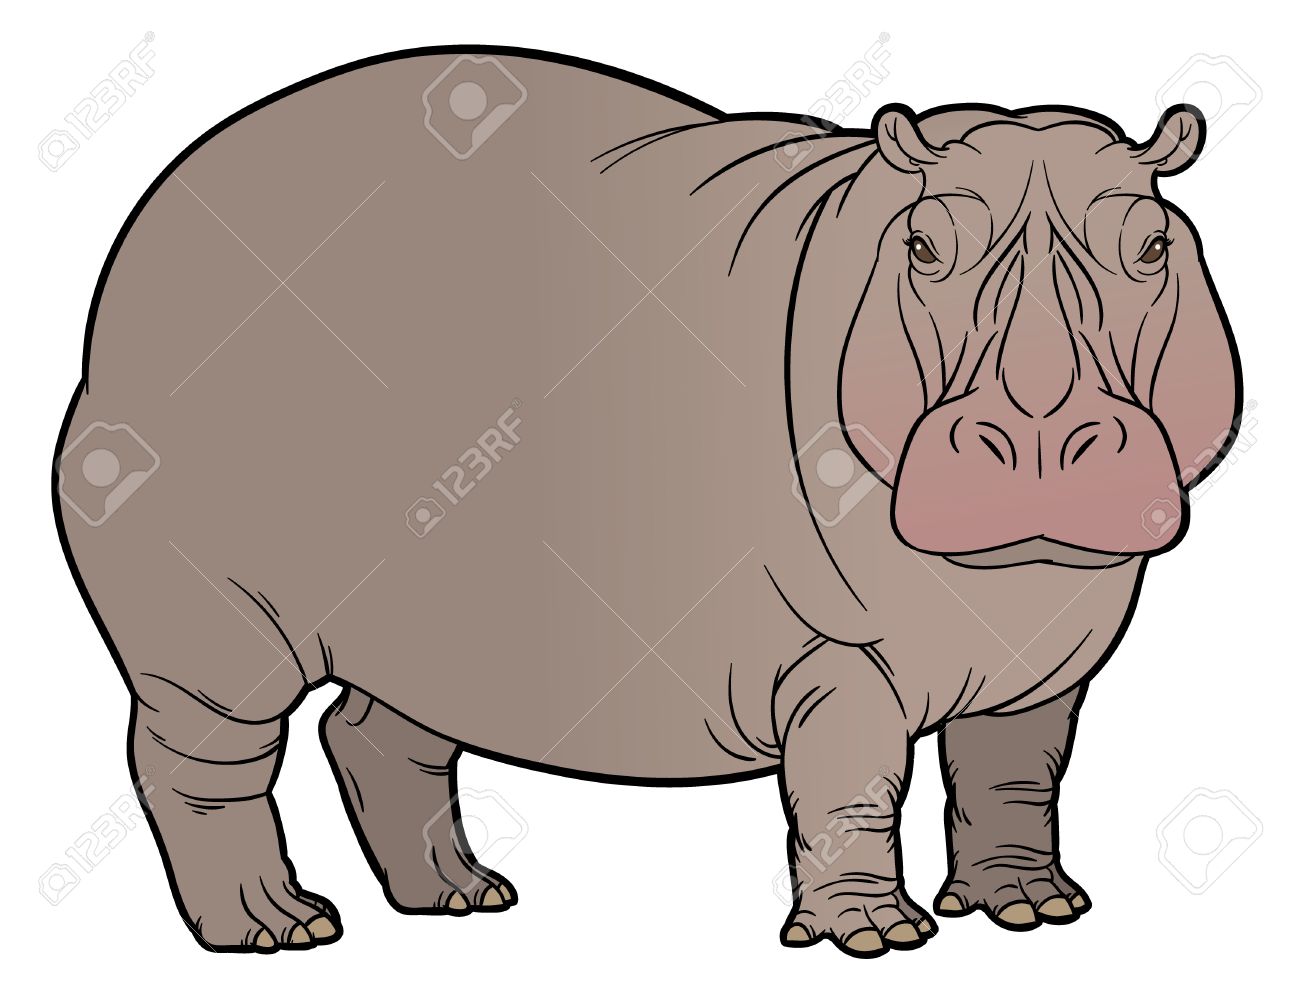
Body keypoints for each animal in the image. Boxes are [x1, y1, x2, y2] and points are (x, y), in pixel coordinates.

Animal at [53, 46, 1241, 957]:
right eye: (922, 246)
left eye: (1151, 242)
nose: (1039, 438)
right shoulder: (837, 654)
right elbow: (854, 786)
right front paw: (875, 937)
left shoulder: (1045, 655)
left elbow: (1014, 775)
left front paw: (1034, 910)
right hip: (214, 626)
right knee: (201, 760)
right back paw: (278, 929)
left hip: (434, 618)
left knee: (379, 733)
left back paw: (460, 898)